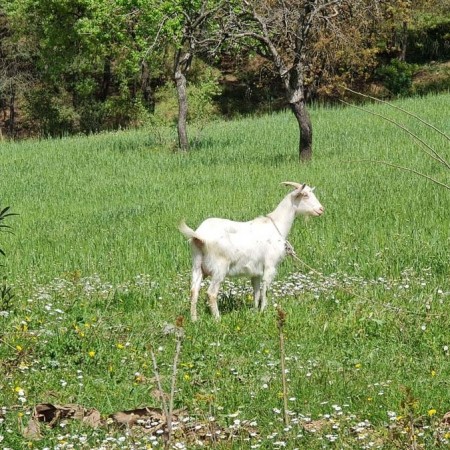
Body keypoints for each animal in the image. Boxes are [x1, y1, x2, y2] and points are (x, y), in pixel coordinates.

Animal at [179, 181, 324, 322]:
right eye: (305, 195)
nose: (321, 209)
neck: (276, 225)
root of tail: (200, 236)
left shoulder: (256, 271)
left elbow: (256, 291)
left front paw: (255, 312)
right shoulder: (270, 266)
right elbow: (265, 289)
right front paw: (263, 311)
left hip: (197, 265)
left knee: (194, 291)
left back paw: (194, 320)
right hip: (220, 268)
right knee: (211, 293)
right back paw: (217, 319)